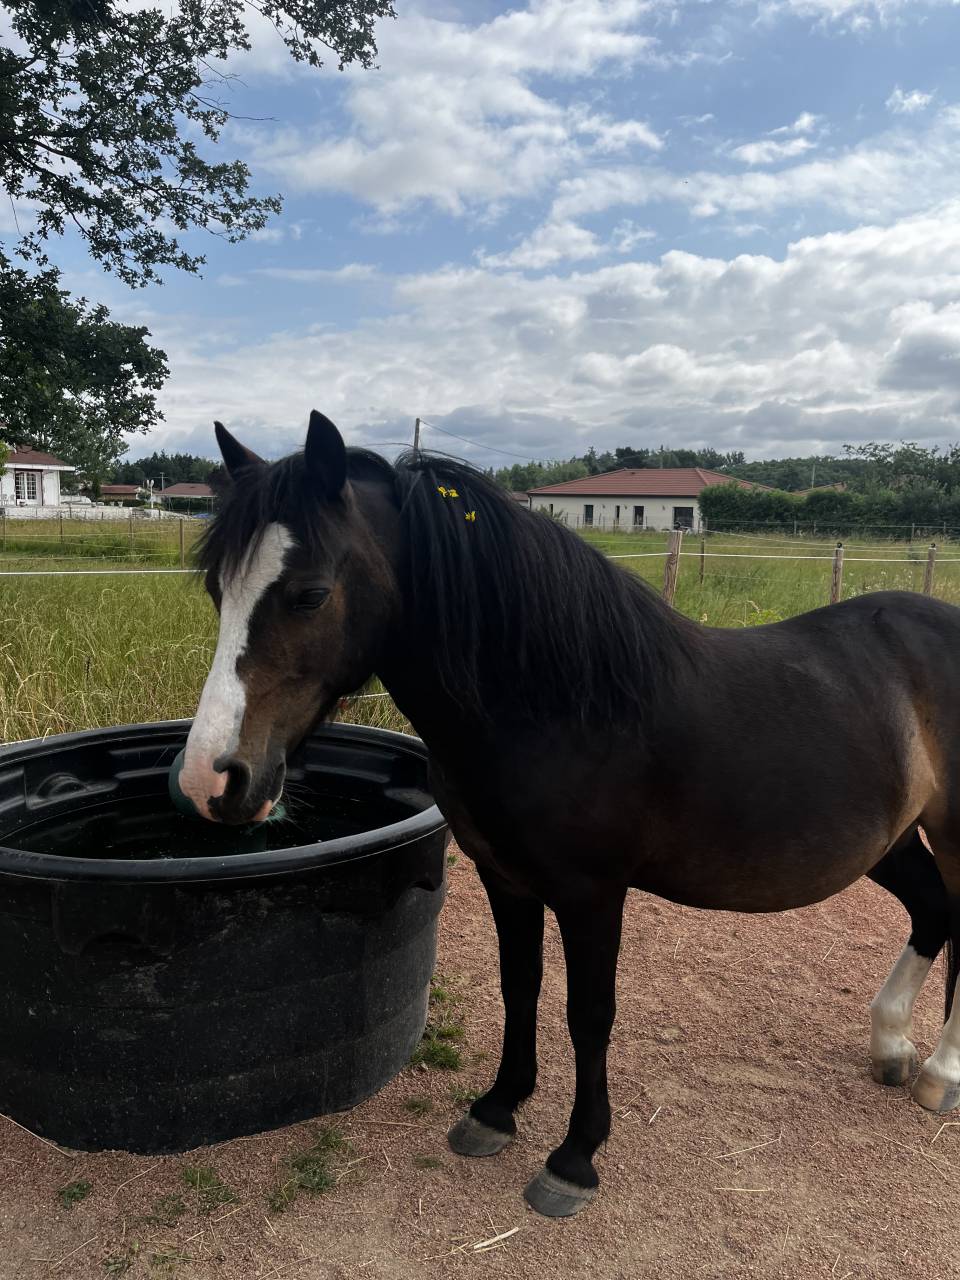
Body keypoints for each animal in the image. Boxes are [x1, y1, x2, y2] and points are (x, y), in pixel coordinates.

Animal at [179, 409, 960, 1218]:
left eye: (310, 594)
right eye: (217, 589)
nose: (212, 779)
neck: (553, 706)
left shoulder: (593, 895)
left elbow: (589, 1015)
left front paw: (575, 1157)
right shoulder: (505, 877)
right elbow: (519, 985)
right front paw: (497, 1109)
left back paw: (941, 1074)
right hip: (890, 841)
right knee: (934, 911)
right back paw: (893, 1050)